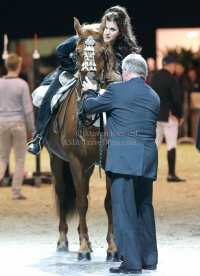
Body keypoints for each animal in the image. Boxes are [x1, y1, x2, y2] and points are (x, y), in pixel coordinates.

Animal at [46, 17, 119, 260]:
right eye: (77, 53)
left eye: (103, 52)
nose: (91, 85)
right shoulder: (75, 161)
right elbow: (80, 202)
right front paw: (84, 248)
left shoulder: (106, 160)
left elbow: (108, 202)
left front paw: (112, 249)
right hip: (56, 159)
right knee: (63, 192)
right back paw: (63, 240)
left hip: (87, 166)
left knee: (84, 190)